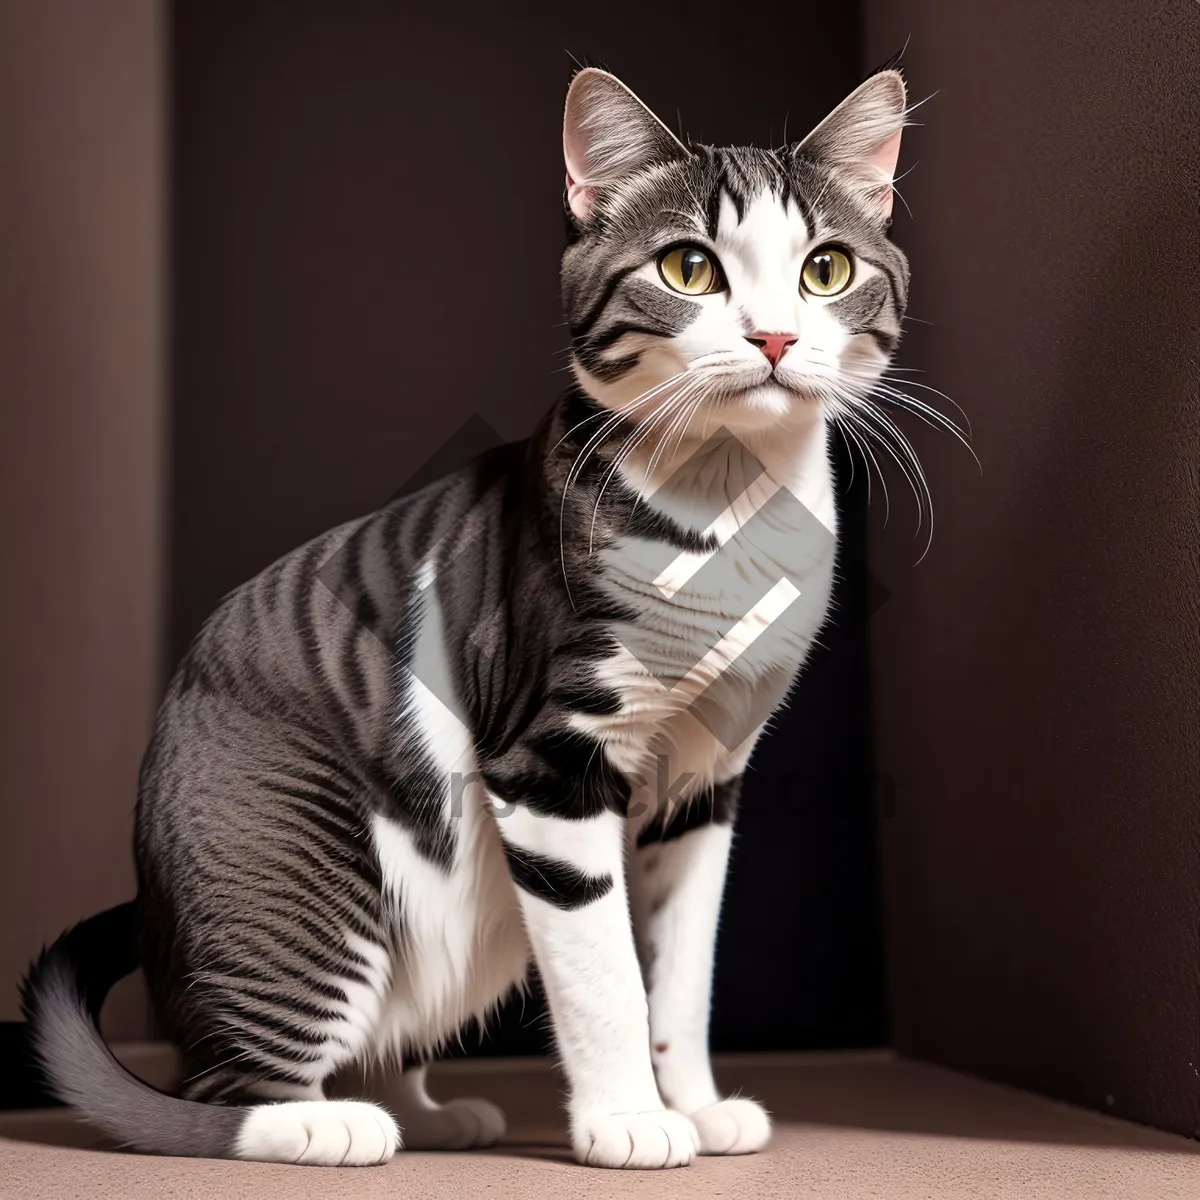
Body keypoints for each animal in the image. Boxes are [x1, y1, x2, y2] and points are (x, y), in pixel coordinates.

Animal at [21, 60, 907, 1166]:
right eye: (689, 269)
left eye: (826, 270)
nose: (776, 336)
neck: (729, 511)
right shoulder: (549, 761)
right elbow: (606, 972)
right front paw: (629, 1121)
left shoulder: (707, 781)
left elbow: (682, 972)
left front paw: (695, 1106)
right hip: (311, 874)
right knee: (217, 1093)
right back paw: (327, 1125)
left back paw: (429, 1114)